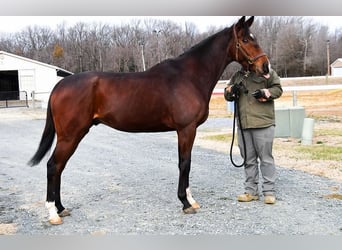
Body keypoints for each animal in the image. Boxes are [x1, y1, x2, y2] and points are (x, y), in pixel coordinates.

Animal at [29, 16, 270, 225]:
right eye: (246, 40)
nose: (265, 67)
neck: (189, 76)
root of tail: (61, 84)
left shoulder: (188, 130)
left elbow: (187, 163)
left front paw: (191, 200)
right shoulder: (186, 129)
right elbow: (184, 163)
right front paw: (185, 203)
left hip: (73, 135)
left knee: (59, 167)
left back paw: (61, 208)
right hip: (70, 135)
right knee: (53, 166)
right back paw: (53, 213)